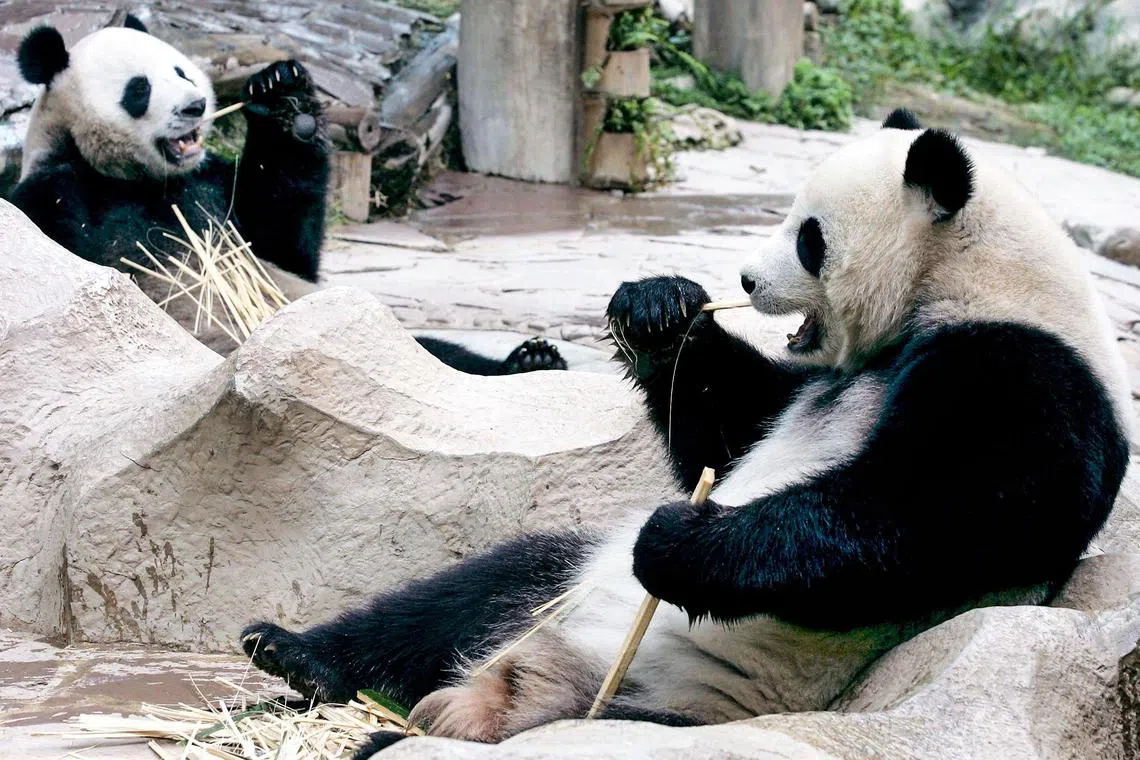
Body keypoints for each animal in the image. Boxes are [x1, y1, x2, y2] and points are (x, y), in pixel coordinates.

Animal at [8, 19, 565, 377]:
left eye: (181, 71)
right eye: (139, 88)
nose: (194, 107)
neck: (139, 177)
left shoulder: (215, 189)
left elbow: (285, 244)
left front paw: (285, 98)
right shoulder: (55, 192)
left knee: (438, 357)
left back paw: (532, 360)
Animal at [236, 108, 1128, 757]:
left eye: (809, 235)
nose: (745, 279)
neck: (973, 276)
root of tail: (523, 688)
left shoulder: (1027, 371)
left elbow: (937, 512)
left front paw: (683, 543)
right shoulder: (816, 380)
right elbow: (729, 427)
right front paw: (658, 310)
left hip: (662, 705)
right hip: (556, 588)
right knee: (460, 594)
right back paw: (295, 652)